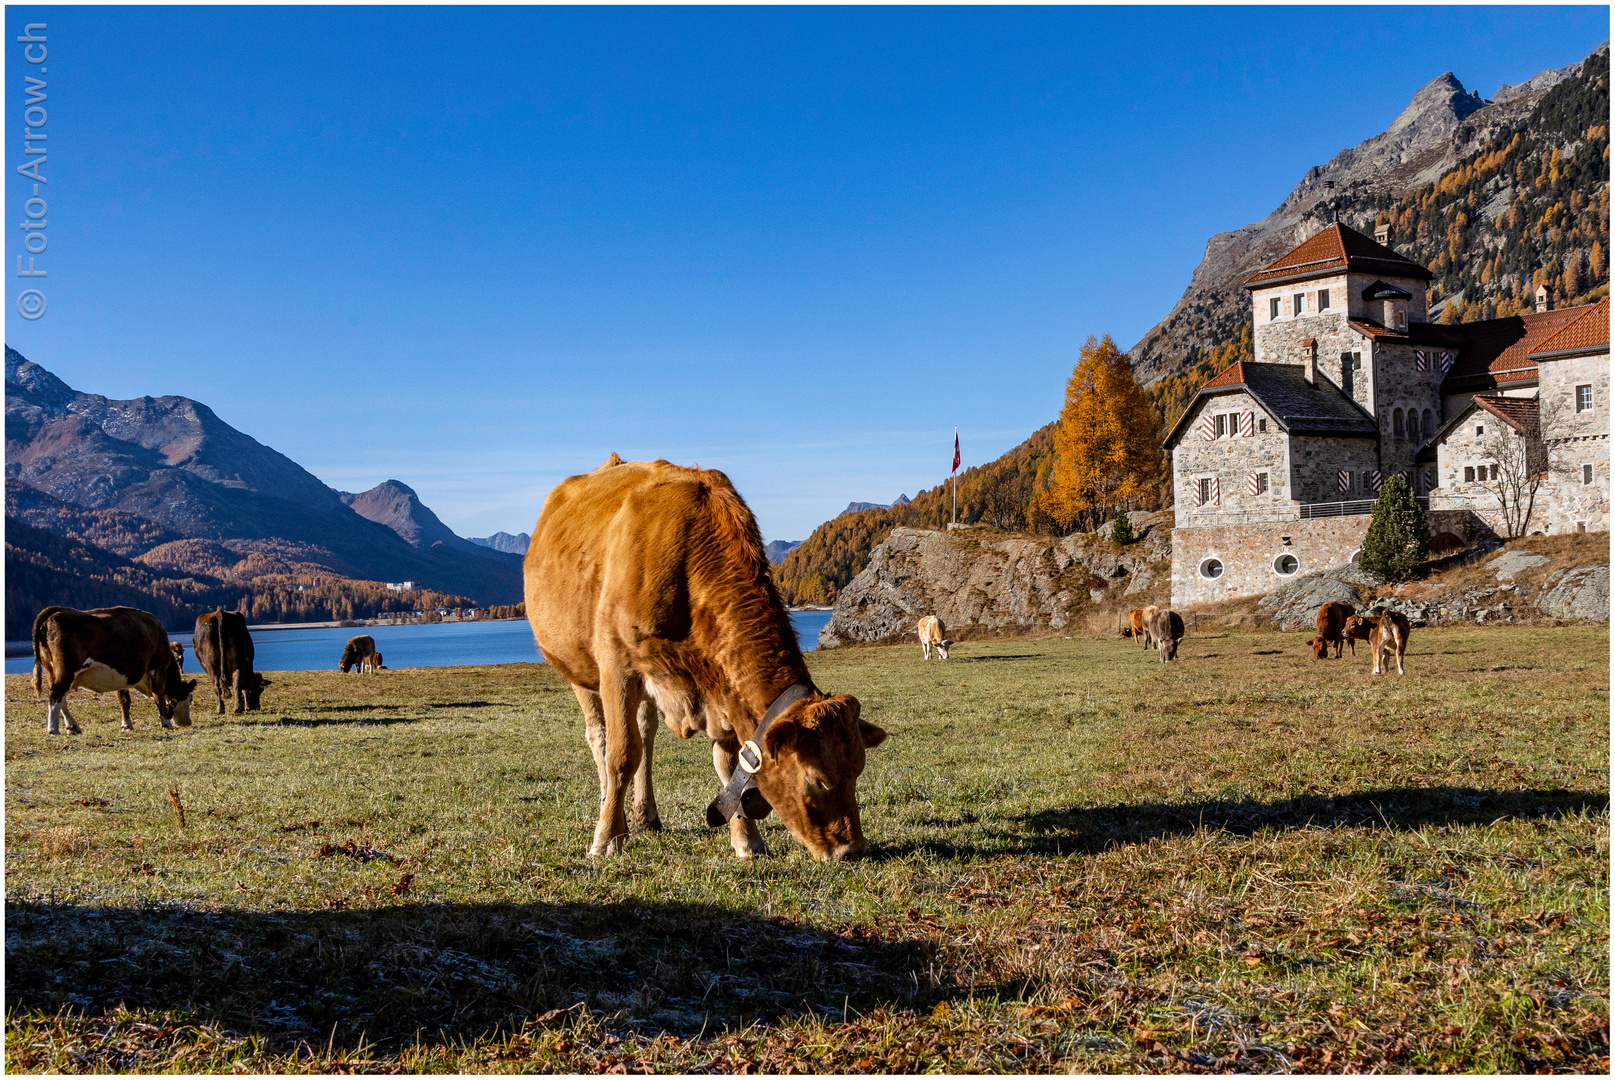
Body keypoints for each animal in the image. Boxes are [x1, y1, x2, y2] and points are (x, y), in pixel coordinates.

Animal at [31, 606, 197, 732]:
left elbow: (124, 700)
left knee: (61, 698)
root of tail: (55, 611)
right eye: (189, 698)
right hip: (67, 670)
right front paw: (166, 723)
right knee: (56, 695)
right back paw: (53, 729)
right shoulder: (159, 668)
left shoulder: (120, 676)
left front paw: (126, 725)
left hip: (51, 671)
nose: (188, 722)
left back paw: (72, 727)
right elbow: (159, 696)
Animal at [526, 452, 885, 858]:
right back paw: (612, 814)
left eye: (857, 771)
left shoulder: (722, 688)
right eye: (819, 780)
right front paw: (605, 839)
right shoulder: (618, 667)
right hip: (579, 669)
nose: (852, 849)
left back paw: (645, 815)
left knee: (646, 735)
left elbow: (728, 765)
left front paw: (747, 841)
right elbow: (621, 755)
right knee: (601, 739)